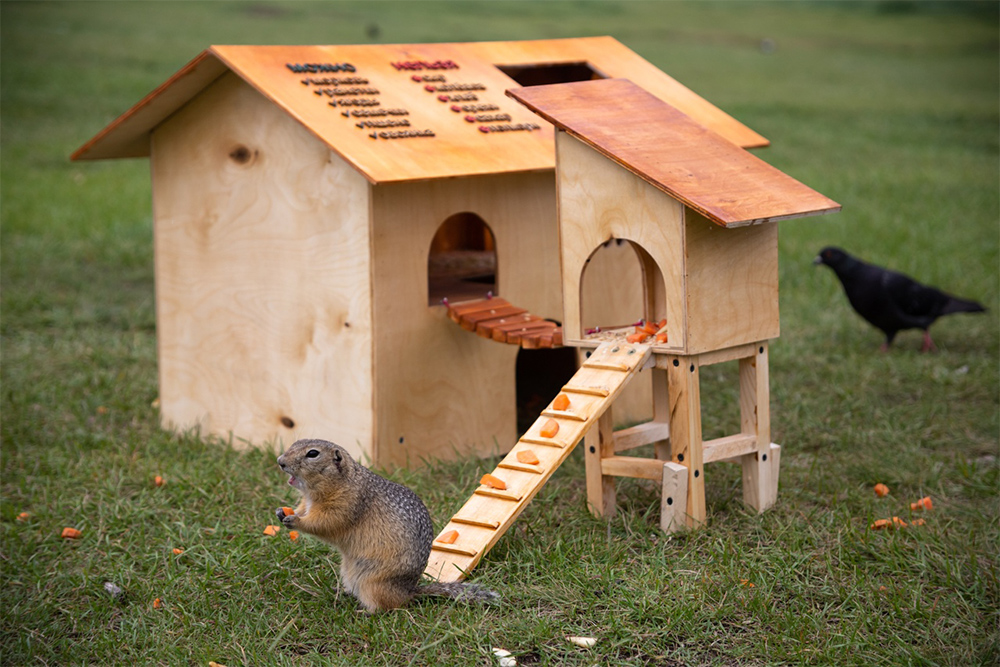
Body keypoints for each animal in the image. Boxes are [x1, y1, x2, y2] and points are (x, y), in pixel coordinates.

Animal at [276, 438, 498, 616]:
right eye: (295, 443)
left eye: (312, 453)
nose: (280, 461)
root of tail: (409, 591)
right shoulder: (307, 504)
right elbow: (302, 509)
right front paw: (281, 512)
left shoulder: (345, 505)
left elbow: (323, 523)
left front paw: (295, 521)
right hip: (350, 573)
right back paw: (341, 592)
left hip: (372, 583)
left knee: (388, 607)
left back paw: (364, 612)